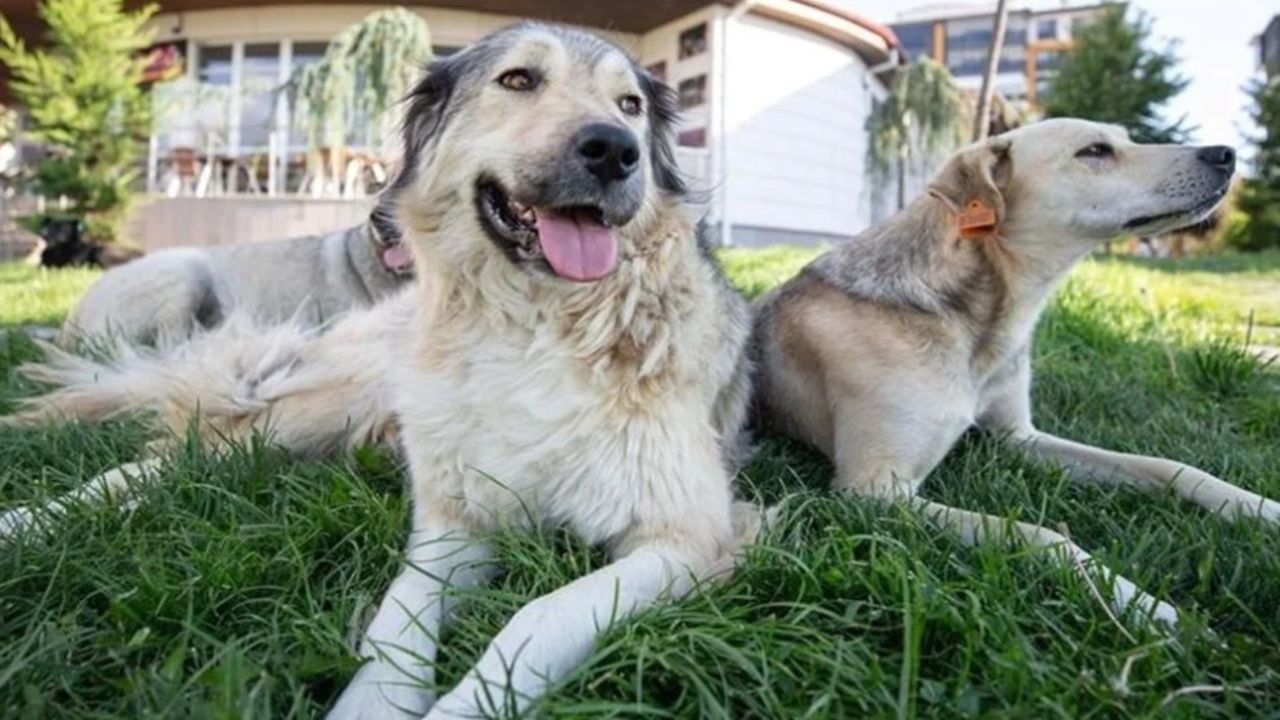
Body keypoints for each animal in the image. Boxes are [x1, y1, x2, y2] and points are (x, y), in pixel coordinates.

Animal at [752, 117, 1274, 622]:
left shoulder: (1016, 437)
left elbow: (1171, 467)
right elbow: (1044, 534)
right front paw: (1143, 605)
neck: (977, 317)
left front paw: (1262, 507)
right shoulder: (873, 490)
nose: (1226, 154)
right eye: (1095, 151)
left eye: (1124, 138)